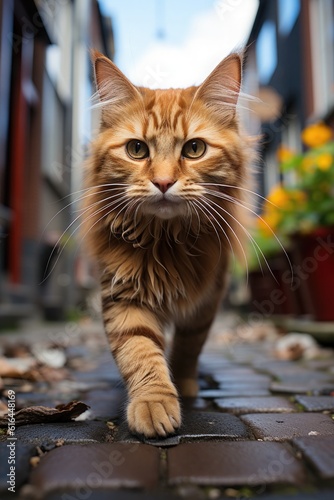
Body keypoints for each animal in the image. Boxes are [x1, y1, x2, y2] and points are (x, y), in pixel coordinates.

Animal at [83, 48, 250, 436]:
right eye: (136, 150)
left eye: (194, 149)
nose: (162, 182)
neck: (166, 240)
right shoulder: (124, 296)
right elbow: (140, 351)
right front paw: (153, 402)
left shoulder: (207, 301)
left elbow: (188, 348)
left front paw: (184, 384)